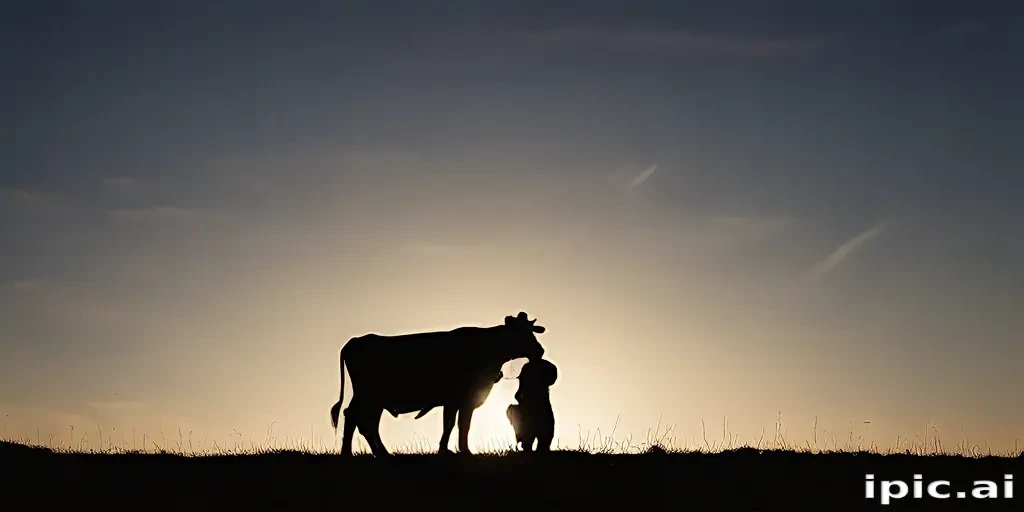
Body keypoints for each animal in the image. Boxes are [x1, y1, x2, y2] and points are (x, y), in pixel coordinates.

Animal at [329, 312, 547, 456]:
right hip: (369, 396)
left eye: (532, 331)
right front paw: (461, 451)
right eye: (521, 333)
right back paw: (361, 453)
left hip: (373, 399)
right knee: (358, 418)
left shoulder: (454, 401)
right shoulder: (461, 399)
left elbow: (453, 425)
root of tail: (356, 340)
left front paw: (449, 449)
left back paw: (371, 453)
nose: (540, 350)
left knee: (361, 419)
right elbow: (459, 424)